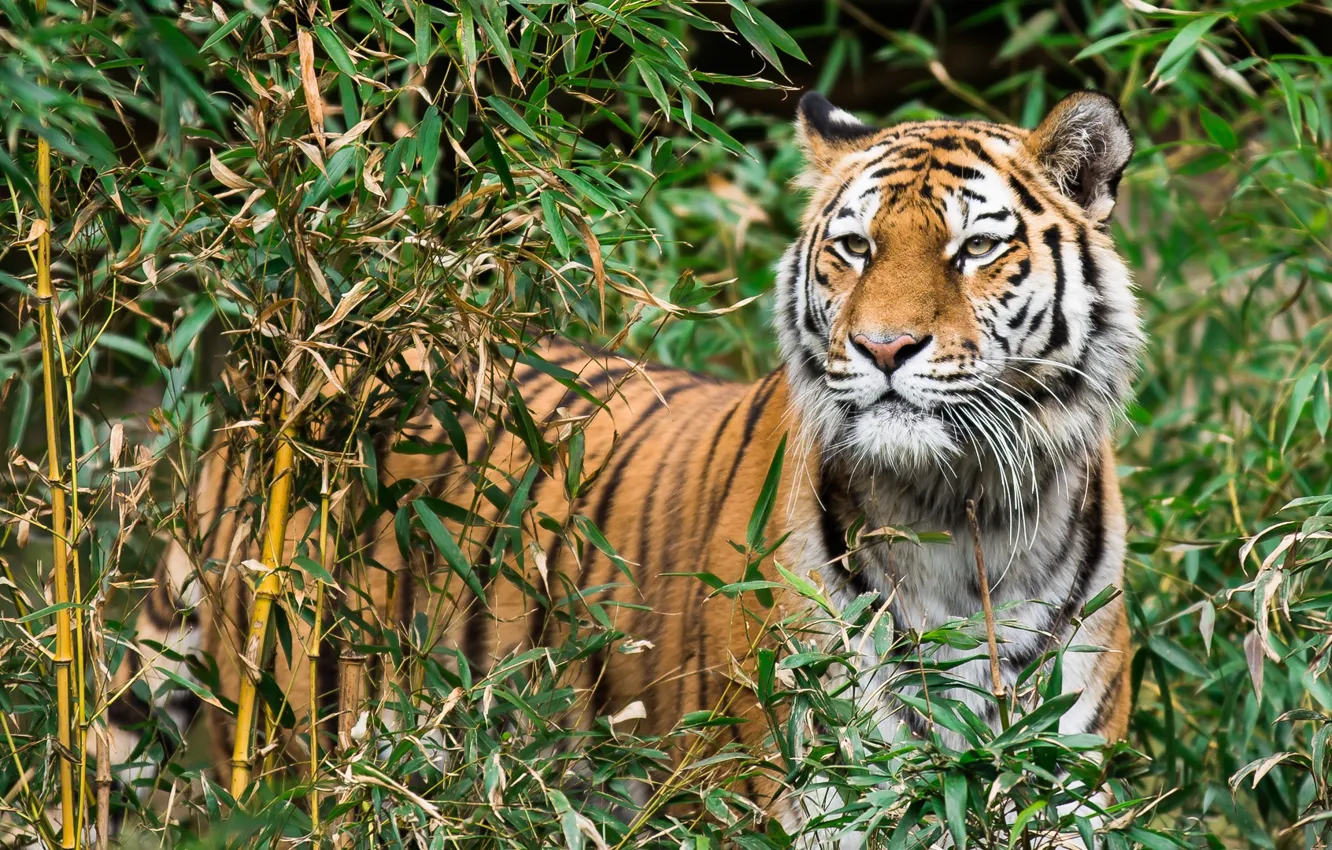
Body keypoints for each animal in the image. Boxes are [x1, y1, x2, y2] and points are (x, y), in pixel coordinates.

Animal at [95, 89, 1141, 846]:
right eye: (855, 246)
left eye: (976, 248)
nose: (884, 347)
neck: (960, 517)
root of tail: (280, 393)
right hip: (299, 751)